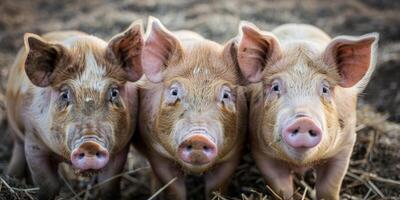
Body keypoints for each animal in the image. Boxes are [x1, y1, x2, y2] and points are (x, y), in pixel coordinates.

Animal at [5, 19, 145, 198]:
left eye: (114, 93)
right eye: (65, 95)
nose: (90, 145)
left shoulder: (122, 147)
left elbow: (109, 184)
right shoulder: (33, 141)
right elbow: (48, 184)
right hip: (14, 126)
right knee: (17, 149)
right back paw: (11, 177)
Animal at [134, 17, 247, 200]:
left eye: (226, 95)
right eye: (174, 92)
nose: (198, 138)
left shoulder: (233, 154)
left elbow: (216, 187)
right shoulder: (156, 152)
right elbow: (173, 188)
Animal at [238, 22, 378, 200]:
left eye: (325, 89)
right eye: (276, 87)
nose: (303, 120)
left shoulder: (346, 145)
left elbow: (329, 186)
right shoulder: (260, 149)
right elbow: (281, 188)